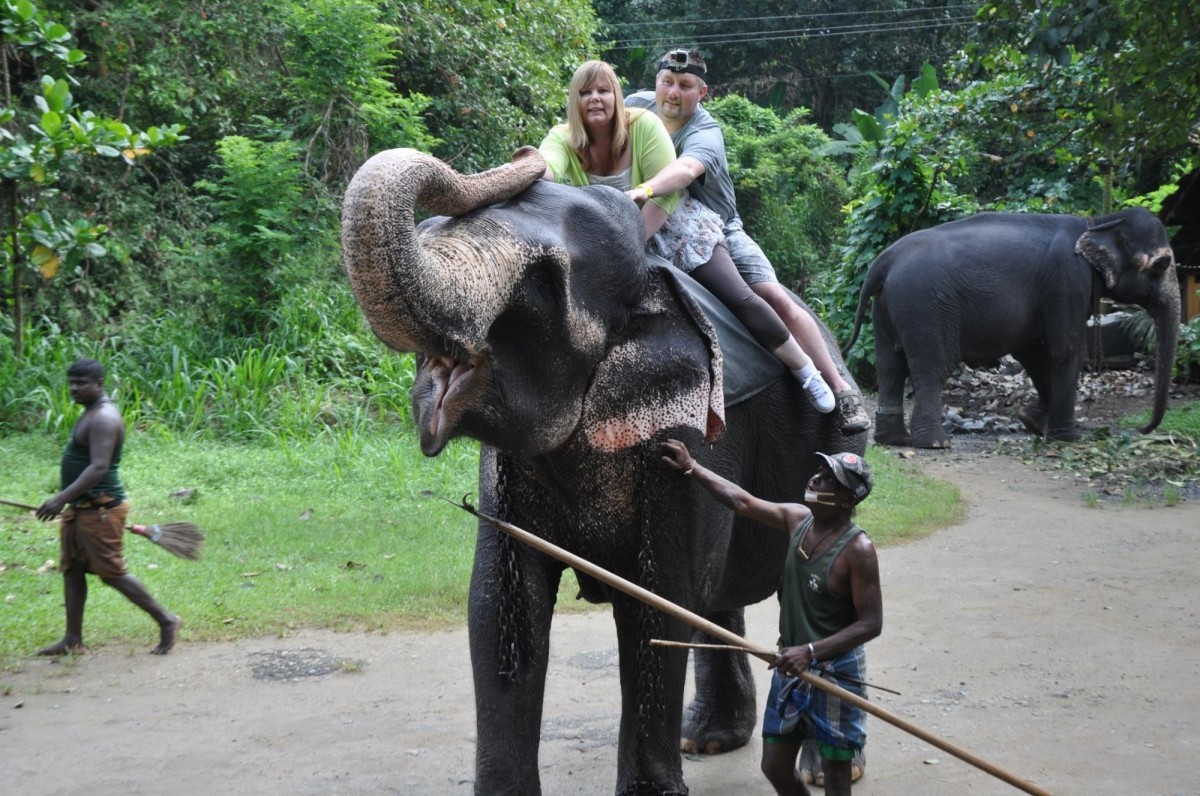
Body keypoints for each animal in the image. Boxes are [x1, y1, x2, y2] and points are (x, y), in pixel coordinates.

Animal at [340, 147, 862, 795]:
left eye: (541, 283)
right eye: (430, 230)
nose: (526, 157)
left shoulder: (693, 434)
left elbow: (658, 603)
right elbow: (499, 605)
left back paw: (821, 766)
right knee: (717, 596)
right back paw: (708, 739)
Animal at [844, 208, 1179, 449]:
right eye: (1161, 265)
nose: (1141, 429)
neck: (1098, 222)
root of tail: (883, 261)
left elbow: (1033, 352)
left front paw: (1032, 422)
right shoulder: (1069, 281)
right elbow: (1065, 351)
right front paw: (1068, 437)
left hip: (886, 305)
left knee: (890, 366)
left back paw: (895, 440)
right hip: (925, 305)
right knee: (933, 366)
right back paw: (936, 443)